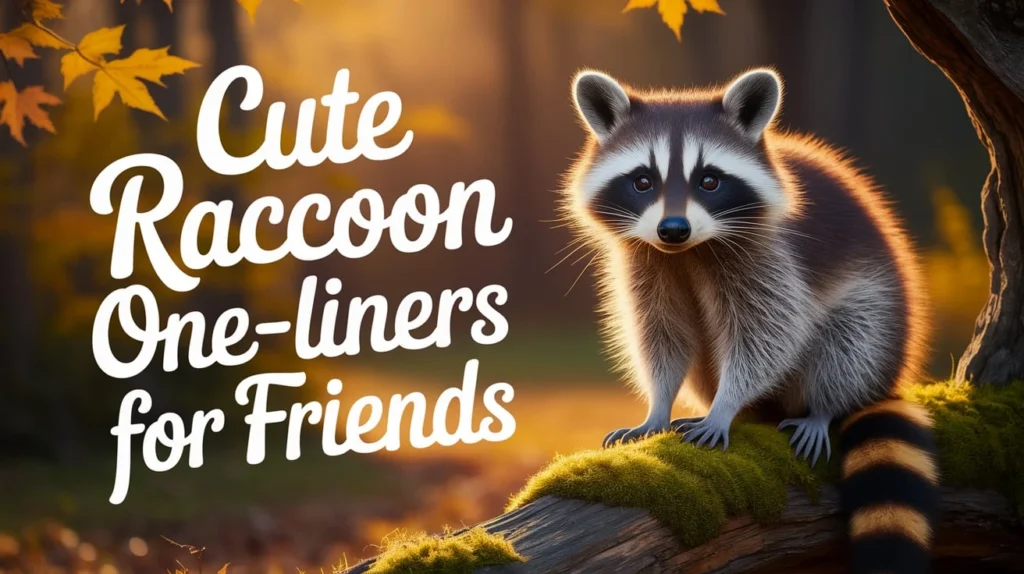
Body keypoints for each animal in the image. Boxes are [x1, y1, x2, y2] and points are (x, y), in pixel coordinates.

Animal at [563, 68, 939, 573]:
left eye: (709, 180)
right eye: (642, 181)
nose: (673, 229)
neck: (688, 252)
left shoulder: (771, 252)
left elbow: (769, 333)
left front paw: (725, 406)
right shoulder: (645, 258)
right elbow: (661, 334)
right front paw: (659, 405)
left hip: (881, 310)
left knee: (852, 337)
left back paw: (824, 405)